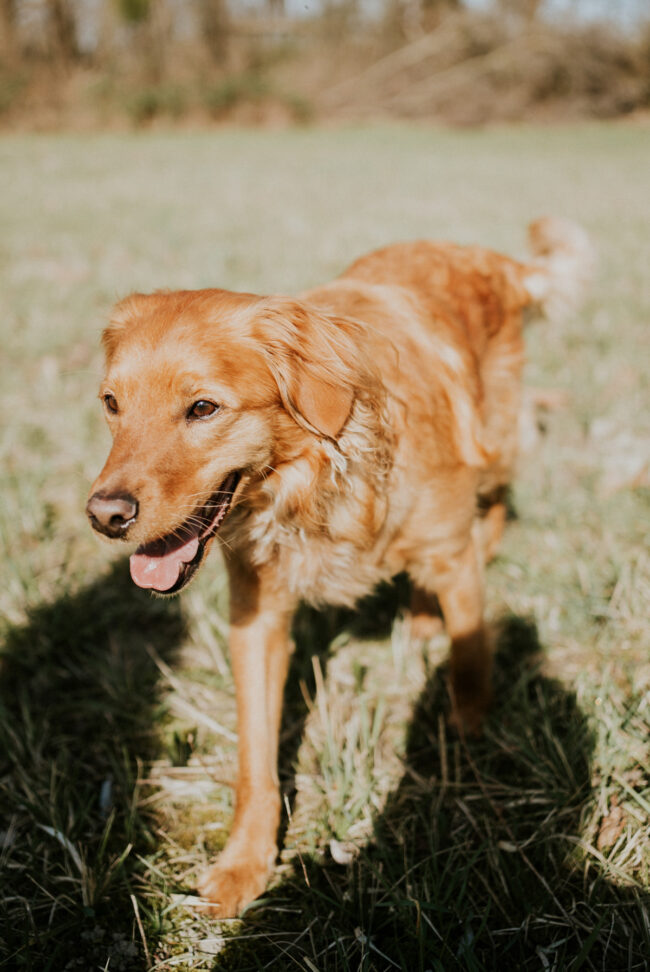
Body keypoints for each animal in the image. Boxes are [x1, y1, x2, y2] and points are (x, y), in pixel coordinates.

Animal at [87, 216, 592, 916]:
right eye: (112, 403)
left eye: (203, 409)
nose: (104, 514)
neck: (317, 481)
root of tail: (485, 257)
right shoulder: (257, 618)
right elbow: (255, 760)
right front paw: (245, 864)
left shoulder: (450, 551)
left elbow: (470, 662)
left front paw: (466, 745)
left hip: (493, 447)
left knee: (490, 512)